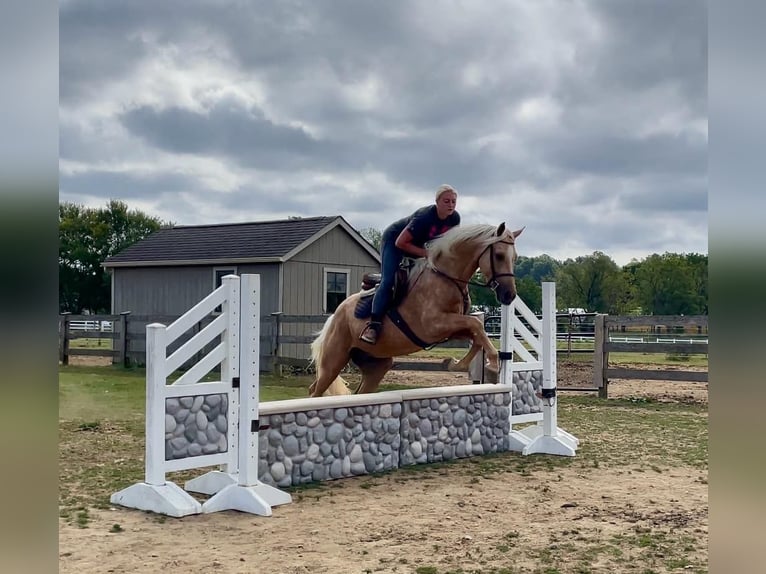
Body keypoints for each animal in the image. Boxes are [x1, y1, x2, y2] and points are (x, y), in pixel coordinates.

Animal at [308, 223, 524, 398]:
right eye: (499, 256)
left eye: (515, 258)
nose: (509, 295)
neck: (447, 277)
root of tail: (334, 316)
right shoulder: (433, 326)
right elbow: (476, 324)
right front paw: (493, 363)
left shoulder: (450, 327)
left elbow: (476, 333)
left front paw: (453, 363)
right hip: (334, 360)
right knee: (315, 389)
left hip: (376, 365)